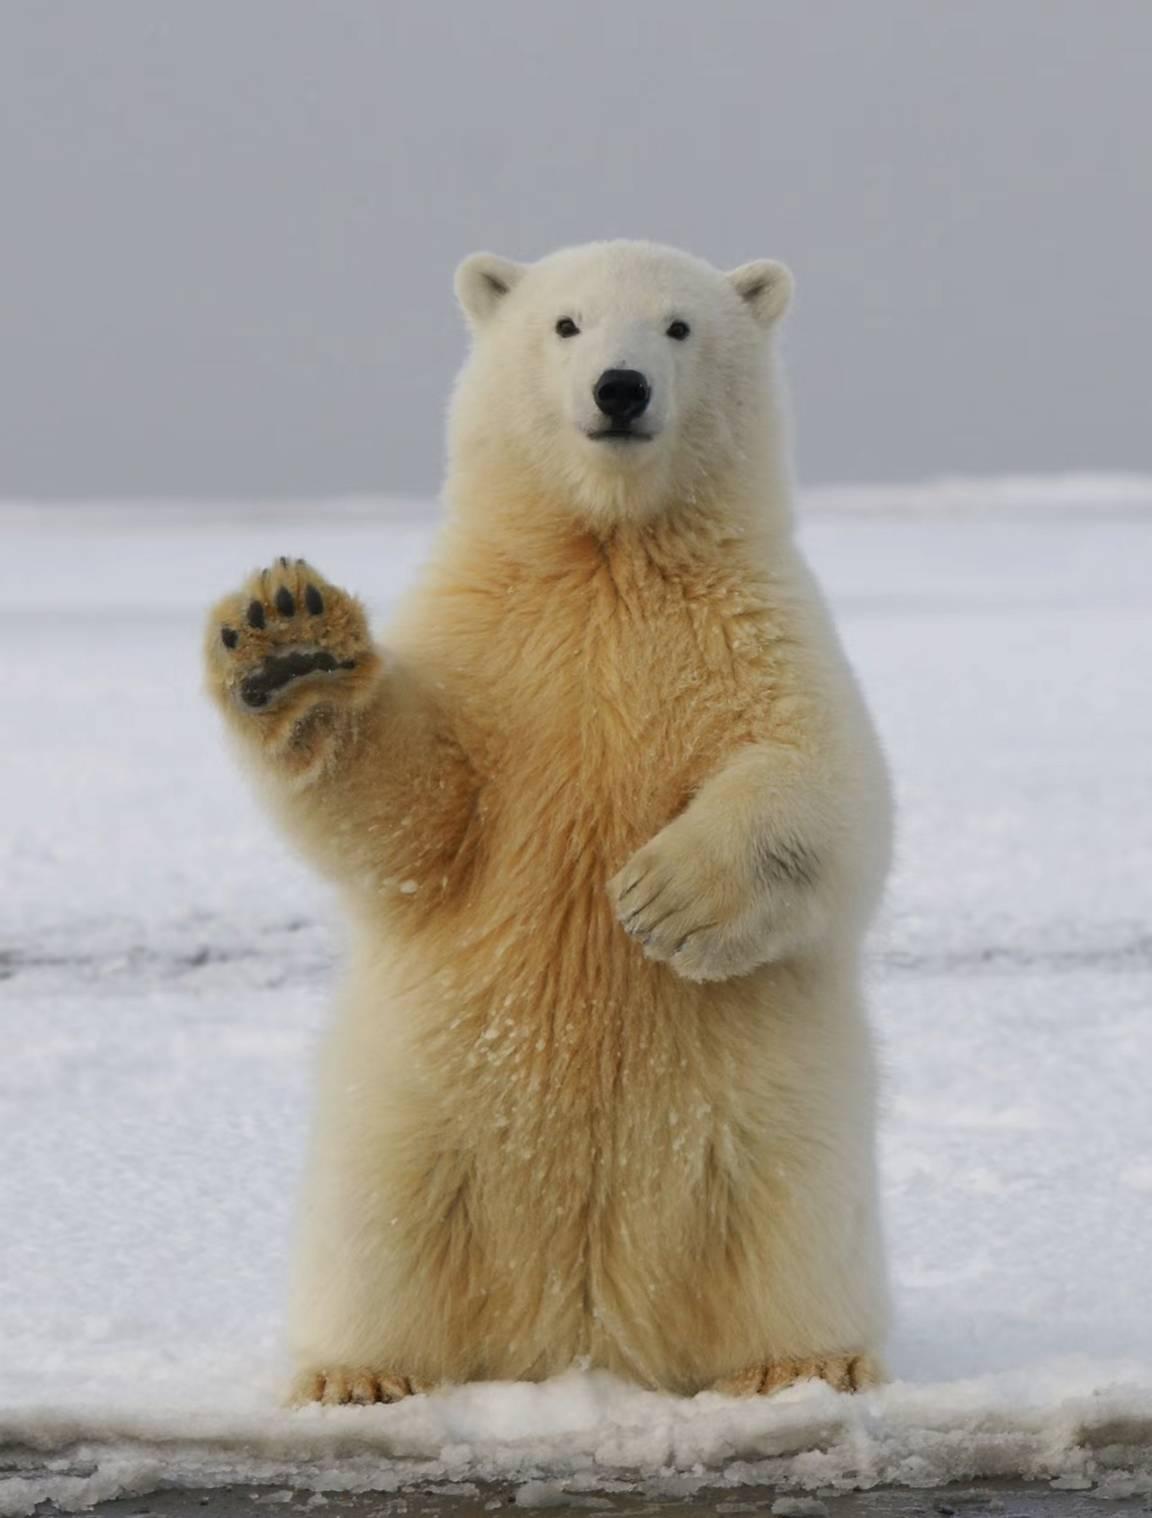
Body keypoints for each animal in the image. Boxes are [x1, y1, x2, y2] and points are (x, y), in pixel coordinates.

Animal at [203, 240, 893, 1405]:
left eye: (678, 326)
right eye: (565, 324)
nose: (620, 389)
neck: (608, 555)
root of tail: (582, 1332)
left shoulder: (758, 628)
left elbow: (826, 787)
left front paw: (663, 898)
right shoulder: (491, 644)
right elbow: (416, 814)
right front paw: (289, 643)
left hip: (773, 1121)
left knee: (790, 1224)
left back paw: (805, 1362)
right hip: (413, 1115)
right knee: (380, 1232)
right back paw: (358, 1375)